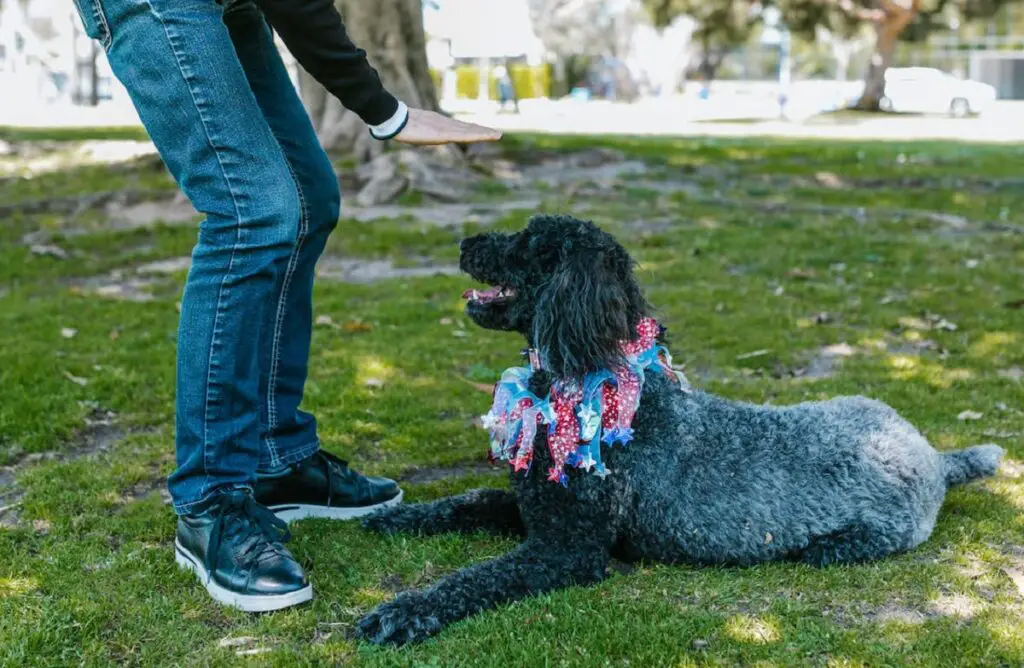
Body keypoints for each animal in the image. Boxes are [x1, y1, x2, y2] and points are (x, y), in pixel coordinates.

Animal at [356, 216, 1003, 643]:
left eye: (529, 243)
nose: (465, 242)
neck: (598, 380)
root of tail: (934, 455)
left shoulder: (566, 548)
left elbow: (475, 577)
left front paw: (404, 611)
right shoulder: (533, 507)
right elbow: (465, 500)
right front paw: (397, 517)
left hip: (885, 526)